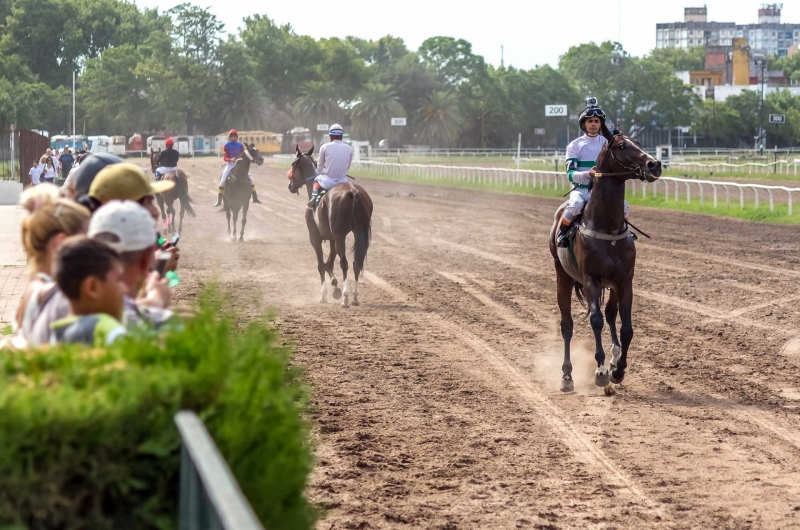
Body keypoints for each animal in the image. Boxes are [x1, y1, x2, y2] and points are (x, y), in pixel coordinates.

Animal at [290, 146, 374, 308]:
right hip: (358, 232)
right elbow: (329, 263)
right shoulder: (332, 238)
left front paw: (324, 295)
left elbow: (321, 265)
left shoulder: (315, 237)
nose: (290, 186)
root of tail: (353, 191)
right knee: (356, 262)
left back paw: (346, 298)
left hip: (340, 234)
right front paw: (335, 288)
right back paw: (354, 297)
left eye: (293, 164)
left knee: (344, 263)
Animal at [552, 129, 664, 392]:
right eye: (622, 146)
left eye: (638, 142)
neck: (607, 227)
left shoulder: (624, 281)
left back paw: (614, 358)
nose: (654, 164)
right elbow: (596, 320)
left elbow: (626, 328)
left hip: (611, 285)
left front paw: (618, 369)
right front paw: (601, 371)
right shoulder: (590, 279)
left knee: (611, 314)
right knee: (567, 325)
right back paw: (567, 376)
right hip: (563, 276)